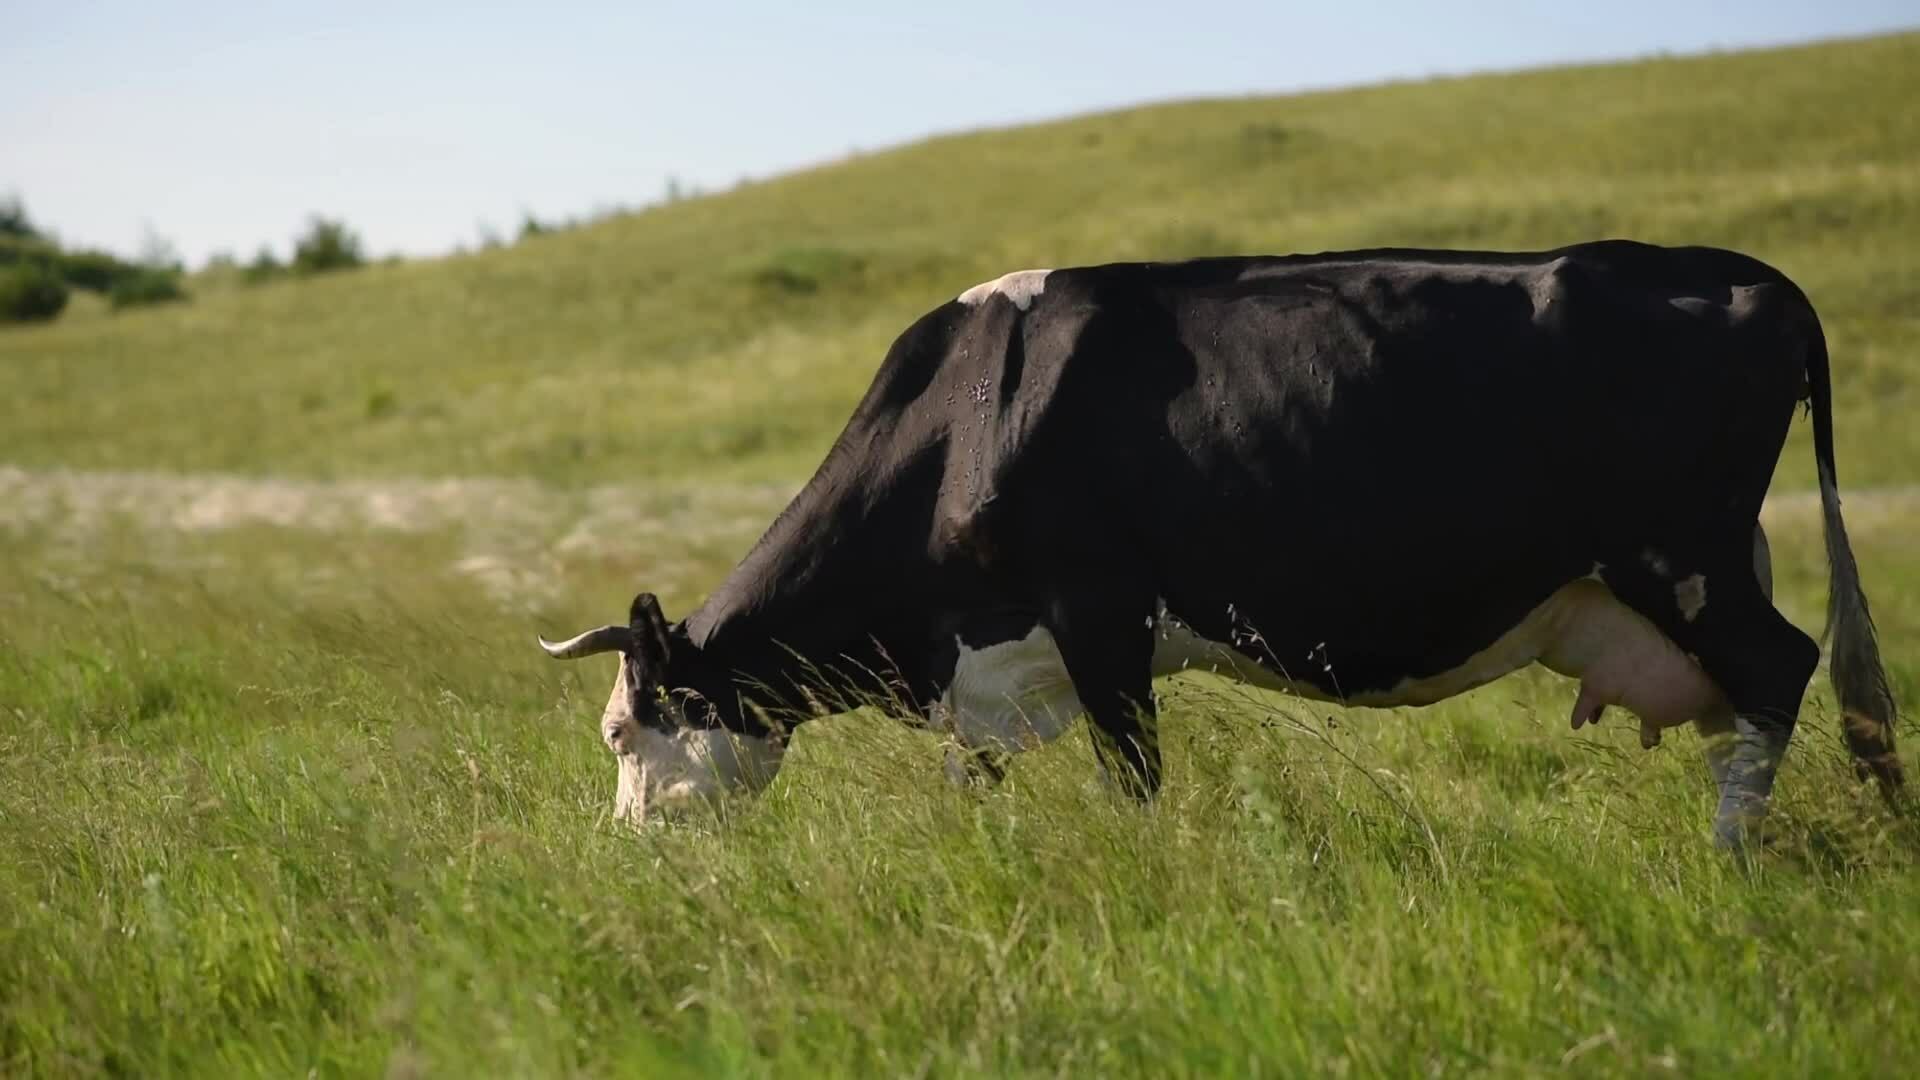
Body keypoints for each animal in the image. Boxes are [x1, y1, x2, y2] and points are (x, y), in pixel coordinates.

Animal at [539, 240, 1902, 848]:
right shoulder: (994, 671)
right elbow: (975, 786)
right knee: (1759, 702)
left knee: (1781, 669)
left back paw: (1728, 858)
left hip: (1683, 558)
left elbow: (1134, 778)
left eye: (620, 733)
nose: (627, 850)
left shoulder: (1101, 615)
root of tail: (1737, 272)